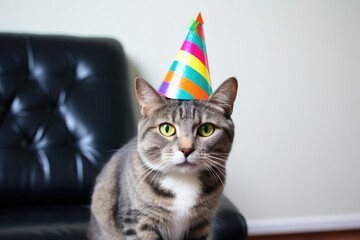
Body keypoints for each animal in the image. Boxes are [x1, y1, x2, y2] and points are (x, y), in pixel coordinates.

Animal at [87, 77, 238, 240]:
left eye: (206, 129)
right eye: (166, 129)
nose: (186, 149)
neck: (183, 181)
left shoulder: (201, 224)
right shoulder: (138, 221)